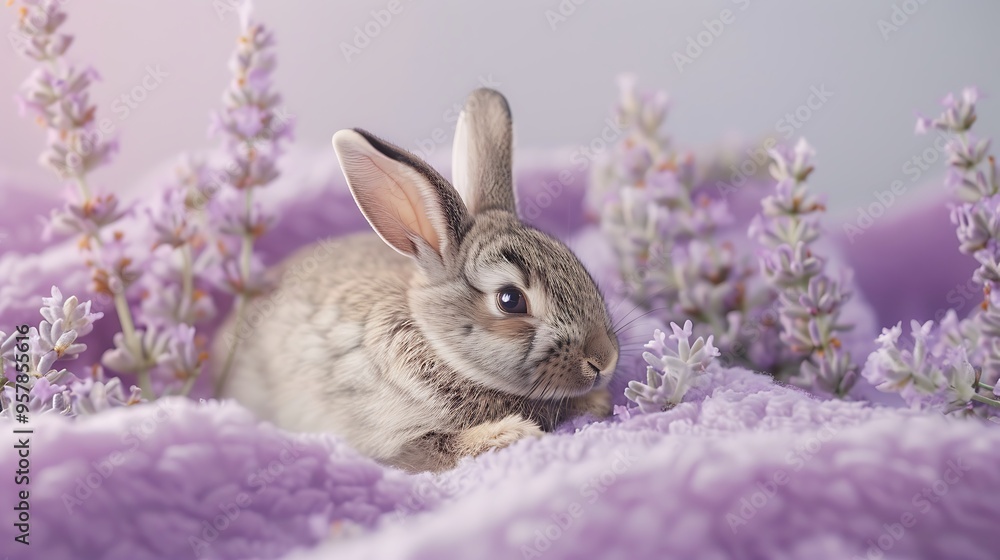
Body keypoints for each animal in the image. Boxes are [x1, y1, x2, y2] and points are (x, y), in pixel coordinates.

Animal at [214, 88, 619, 472]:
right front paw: (512, 433)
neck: (437, 344)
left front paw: (596, 402)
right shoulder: (398, 441)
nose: (604, 359)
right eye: (510, 300)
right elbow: (440, 450)